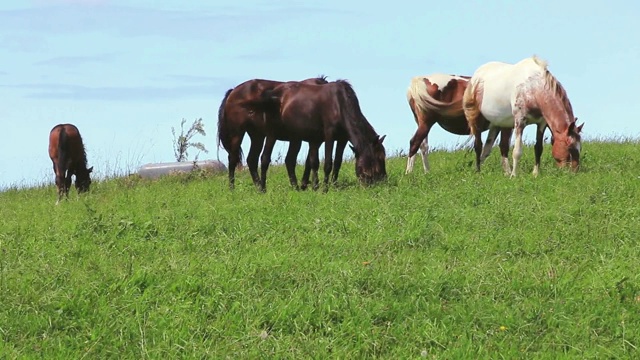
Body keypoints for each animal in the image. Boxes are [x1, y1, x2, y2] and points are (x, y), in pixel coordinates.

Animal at [256, 79, 388, 191]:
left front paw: (334, 185)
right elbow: (328, 163)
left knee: (289, 160)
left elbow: (337, 162)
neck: (340, 104)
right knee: (265, 158)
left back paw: (296, 187)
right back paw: (263, 188)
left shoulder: (342, 139)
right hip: (272, 134)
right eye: (378, 158)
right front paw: (324, 189)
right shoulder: (329, 135)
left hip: (295, 137)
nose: (382, 181)